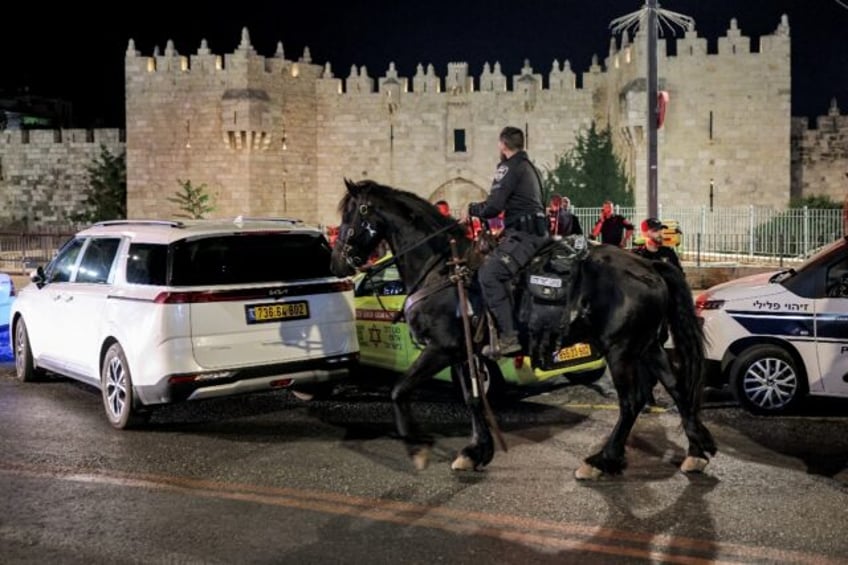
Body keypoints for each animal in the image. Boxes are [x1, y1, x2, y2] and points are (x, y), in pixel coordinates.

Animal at [332, 178, 716, 478]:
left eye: (354, 212)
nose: (338, 262)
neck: (443, 268)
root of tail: (650, 266)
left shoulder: (440, 348)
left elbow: (399, 391)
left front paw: (417, 448)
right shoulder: (463, 353)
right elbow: (472, 398)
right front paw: (477, 451)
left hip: (621, 350)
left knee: (632, 401)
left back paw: (602, 460)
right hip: (648, 346)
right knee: (678, 389)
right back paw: (697, 451)